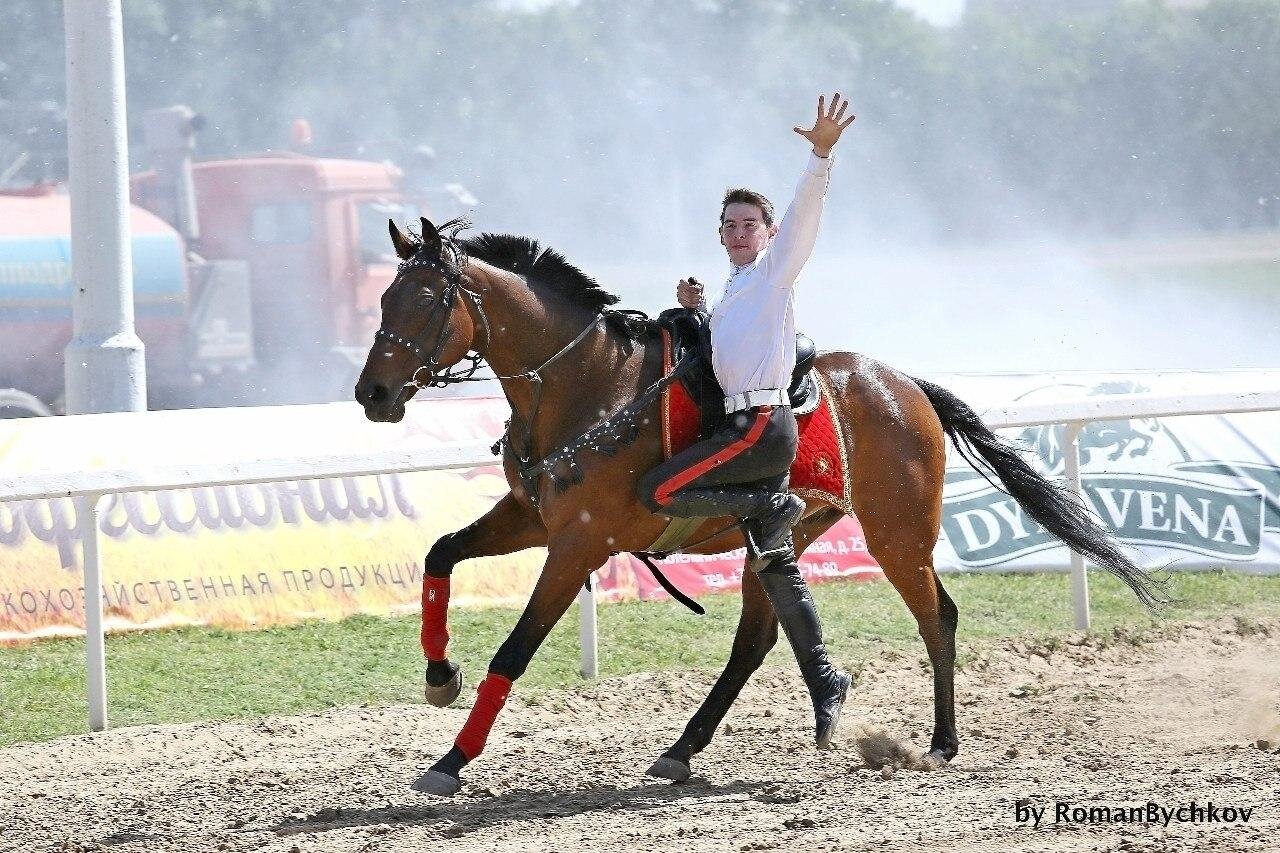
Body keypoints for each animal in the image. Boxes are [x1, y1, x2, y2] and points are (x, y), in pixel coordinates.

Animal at [355, 216, 1167, 794]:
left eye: (425, 301)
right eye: (385, 298)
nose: (372, 392)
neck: (587, 384)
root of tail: (904, 383)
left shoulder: (579, 544)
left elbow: (513, 650)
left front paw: (453, 759)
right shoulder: (531, 519)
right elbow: (439, 556)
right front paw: (438, 675)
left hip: (898, 535)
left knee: (937, 616)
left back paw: (937, 743)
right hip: (787, 532)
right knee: (760, 631)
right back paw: (705, 742)